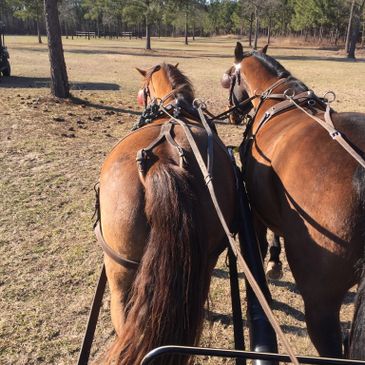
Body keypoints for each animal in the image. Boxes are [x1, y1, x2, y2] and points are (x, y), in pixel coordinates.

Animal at [220, 42, 364, 358]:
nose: (233, 116)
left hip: (320, 302)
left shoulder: (256, 209)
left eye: (228, 78)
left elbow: (261, 245)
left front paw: (269, 268)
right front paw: (276, 262)